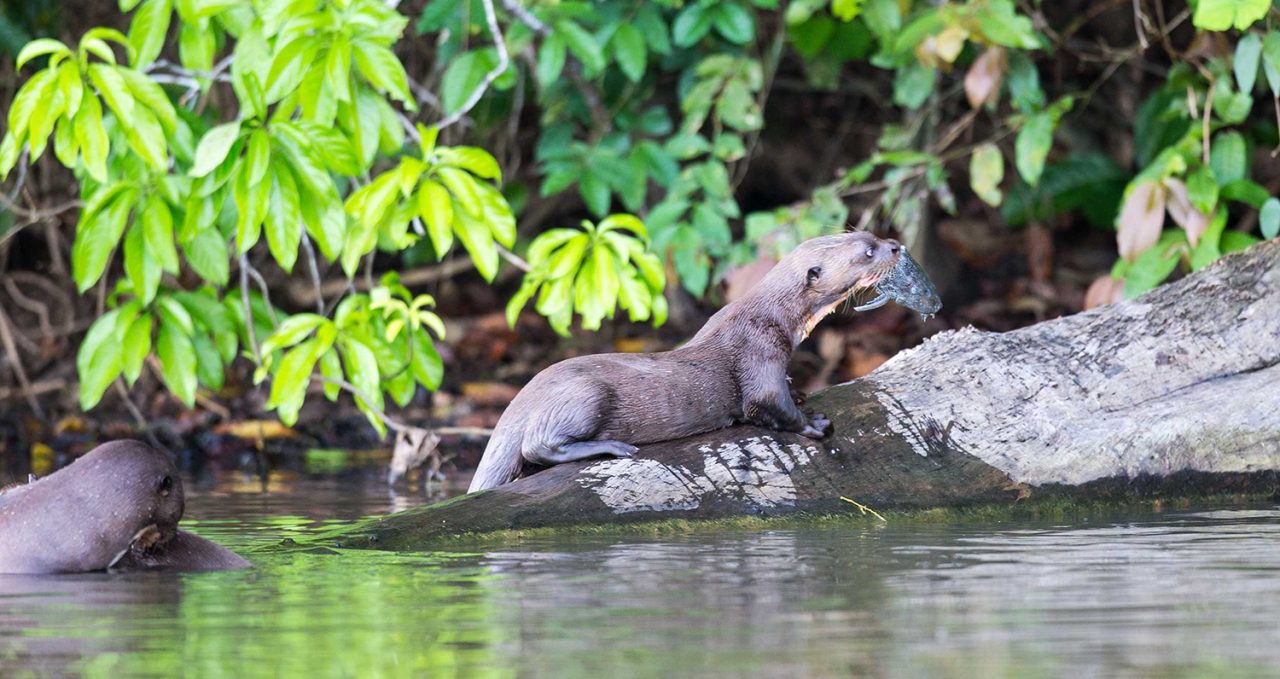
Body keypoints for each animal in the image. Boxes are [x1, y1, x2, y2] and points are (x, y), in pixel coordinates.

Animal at [468, 229, 901, 489]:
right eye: (867, 253)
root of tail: (521, 398)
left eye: (869, 234)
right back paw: (612, 448)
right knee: (536, 446)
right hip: (583, 394)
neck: (773, 316)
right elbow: (766, 403)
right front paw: (813, 424)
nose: (896, 246)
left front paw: (801, 394)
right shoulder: (759, 350)